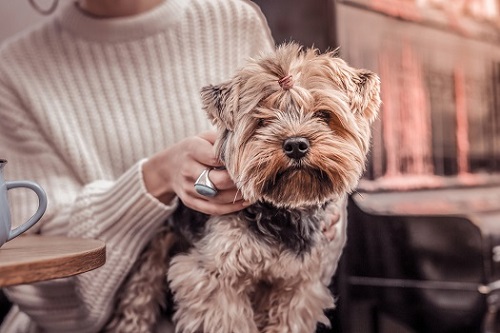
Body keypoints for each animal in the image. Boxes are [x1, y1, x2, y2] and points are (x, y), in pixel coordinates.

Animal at [166, 42, 380, 332]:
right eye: (263, 120)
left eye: (323, 115)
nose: (296, 144)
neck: (285, 210)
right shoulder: (212, 278)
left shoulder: (300, 283)